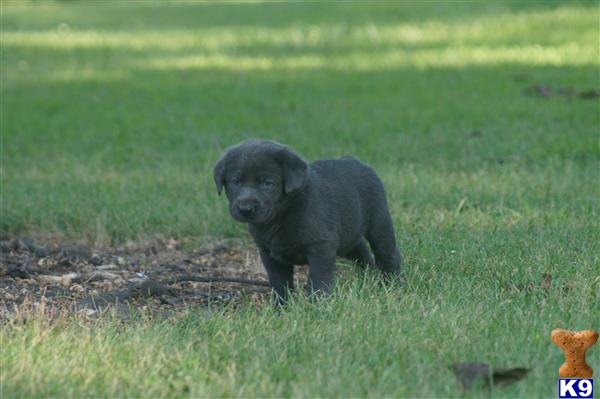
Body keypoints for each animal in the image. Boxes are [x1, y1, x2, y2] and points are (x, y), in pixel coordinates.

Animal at [213, 141, 400, 300]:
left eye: (268, 183)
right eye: (236, 182)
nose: (245, 209)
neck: (281, 215)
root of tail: (359, 163)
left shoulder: (321, 248)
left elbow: (318, 280)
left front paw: (318, 305)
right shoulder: (269, 254)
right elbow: (280, 283)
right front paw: (281, 307)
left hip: (379, 223)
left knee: (389, 255)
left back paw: (395, 286)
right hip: (349, 233)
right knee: (361, 250)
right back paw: (368, 277)